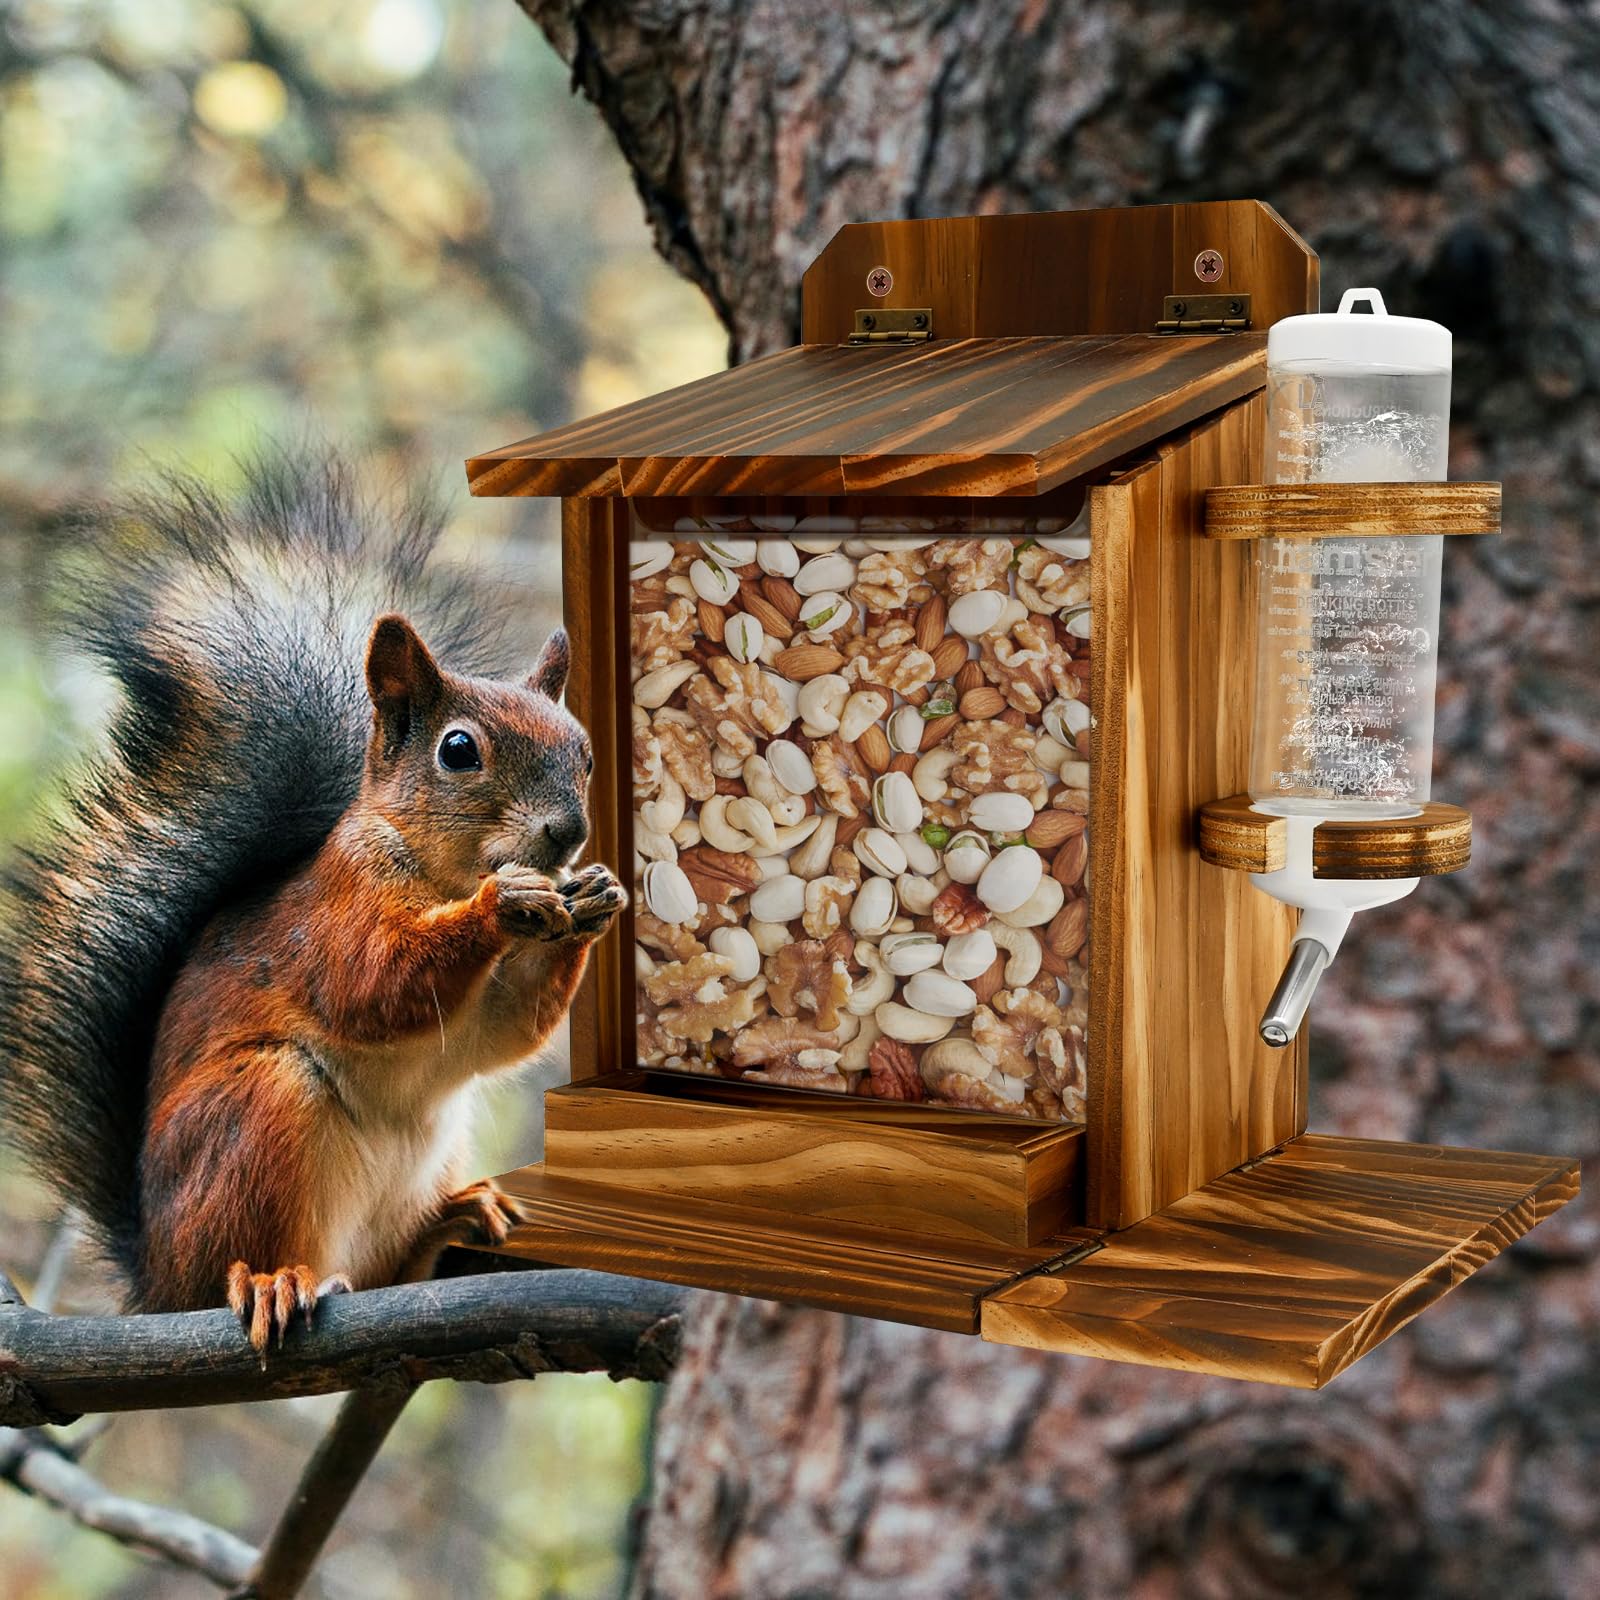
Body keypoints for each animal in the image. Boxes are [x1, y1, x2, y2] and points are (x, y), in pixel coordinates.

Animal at [0, 453, 624, 1348]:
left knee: (385, 1272)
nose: (568, 832)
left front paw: (596, 897)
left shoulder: (488, 1013)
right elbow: (374, 984)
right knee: (237, 1262)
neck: (438, 874)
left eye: (584, 752)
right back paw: (267, 1281)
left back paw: (451, 1220)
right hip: (257, 1113)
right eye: (458, 750)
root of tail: (153, 1282)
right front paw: (500, 904)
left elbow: (505, 1032)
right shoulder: (333, 915)